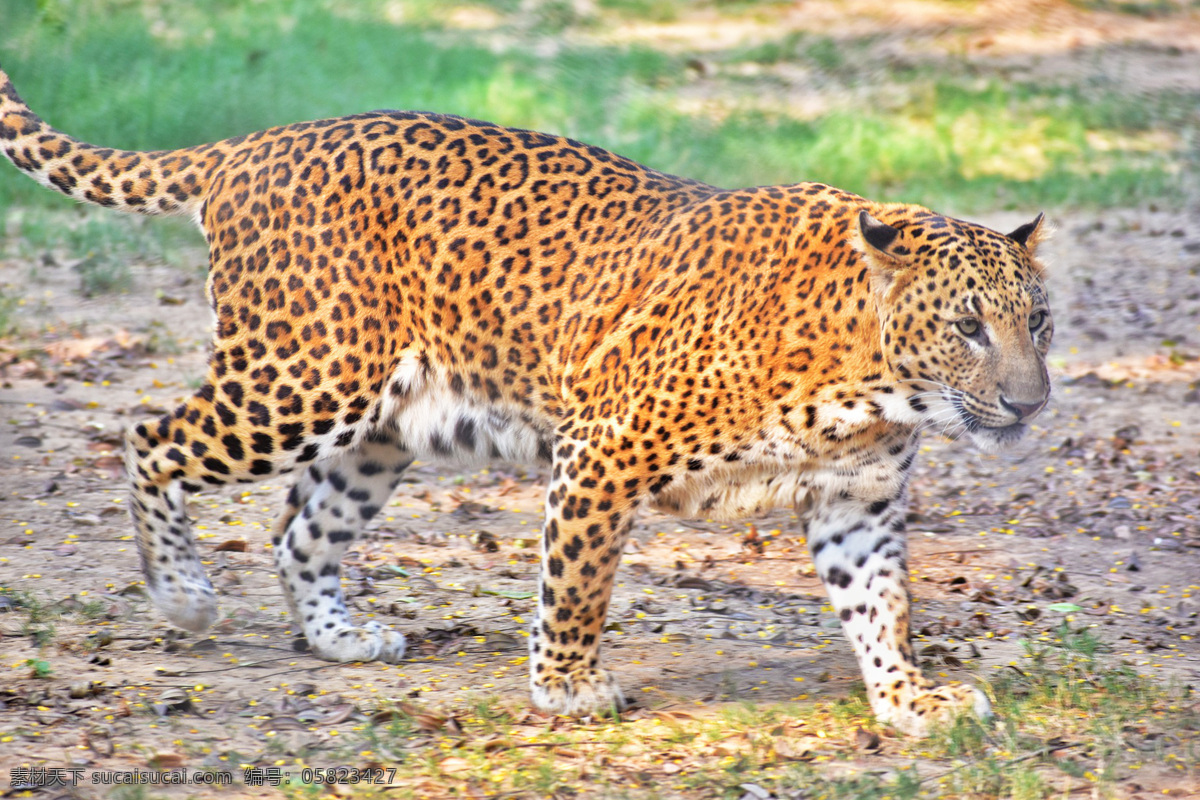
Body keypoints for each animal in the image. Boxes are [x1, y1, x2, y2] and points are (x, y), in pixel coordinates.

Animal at [0, 65, 1051, 734]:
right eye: (968, 327)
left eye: (1037, 321)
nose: (1032, 405)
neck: (873, 390)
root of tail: (252, 143)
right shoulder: (602, 450)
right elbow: (577, 582)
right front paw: (567, 690)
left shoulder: (855, 504)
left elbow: (884, 607)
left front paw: (910, 700)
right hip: (300, 378)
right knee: (150, 439)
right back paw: (182, 595)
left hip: (377, 432)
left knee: (300, 531)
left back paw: (341, 637)